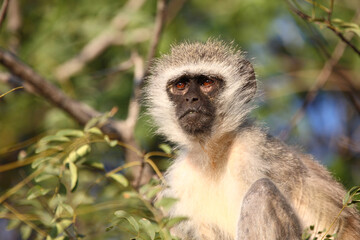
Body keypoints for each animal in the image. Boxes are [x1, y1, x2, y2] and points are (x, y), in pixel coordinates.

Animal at [144, 40, 360, 239]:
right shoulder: (178, 182)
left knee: (261, 191)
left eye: (207, 83)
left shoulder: (252, 150)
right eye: (180, 85)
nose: (191, 99)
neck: (213, 155)